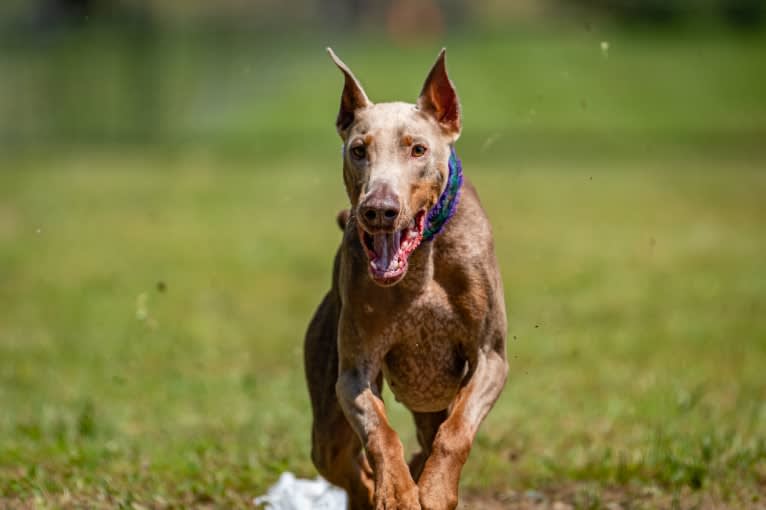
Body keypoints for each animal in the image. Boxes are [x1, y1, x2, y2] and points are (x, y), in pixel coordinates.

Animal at [306, 48, 510, 510]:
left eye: (418, 149)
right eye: (358, 150)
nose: (379, 210)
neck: (422, 262)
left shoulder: (491, 358)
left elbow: (456, 432)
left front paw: (432, 489)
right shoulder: (353, 372)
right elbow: (380, 432)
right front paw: (397, 491)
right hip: (327, 418)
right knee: (345, 464)